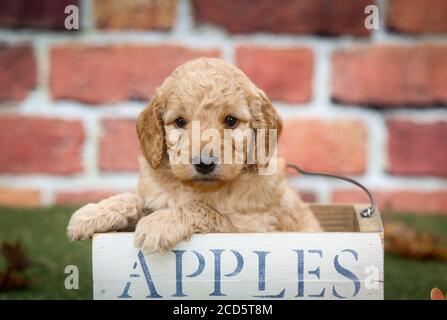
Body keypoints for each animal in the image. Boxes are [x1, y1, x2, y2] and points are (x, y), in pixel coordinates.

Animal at [66, 57, 322, 252]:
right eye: (180, 122)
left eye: (231, 121)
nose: (204, 163)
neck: (198, 188)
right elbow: (136, 199)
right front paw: (92, 213)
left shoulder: (251, 225)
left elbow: (204, 209)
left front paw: (160, 223)